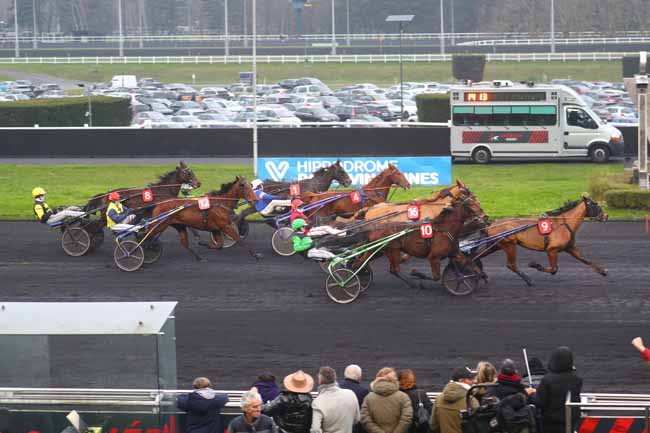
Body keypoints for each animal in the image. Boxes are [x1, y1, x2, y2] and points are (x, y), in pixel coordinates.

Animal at [476, 194, 608, 286]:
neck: (564, 224)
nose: (606, 216)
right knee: (511, 265)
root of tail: (491, 224)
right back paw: (528, 280)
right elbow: (554, 269)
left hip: (495, 245)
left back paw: (482, 274)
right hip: (509, 245)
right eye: (595, 204)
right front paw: (535, 265)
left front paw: (603, 271)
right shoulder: (552, 249)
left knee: (477, 256)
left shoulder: (570, 247)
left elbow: (586, 260)